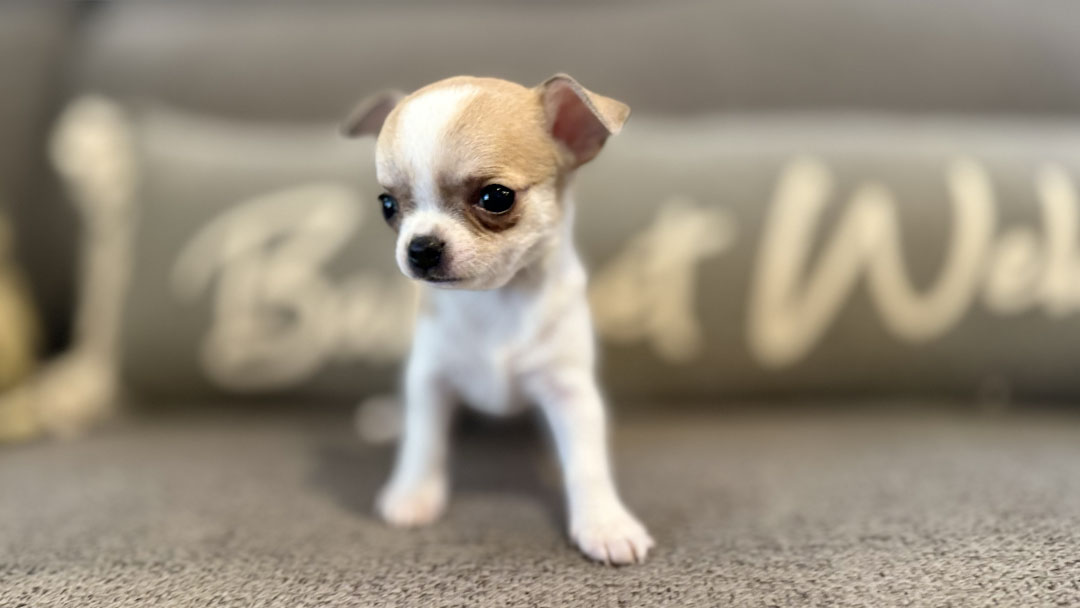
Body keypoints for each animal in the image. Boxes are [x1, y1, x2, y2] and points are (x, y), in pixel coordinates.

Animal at [342, 74, 653, 565]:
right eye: (387, 205)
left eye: (495, 197)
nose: (420, 247)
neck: (496, 300)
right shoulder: (430, 379)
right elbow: (424, 441)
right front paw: (413, 494)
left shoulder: (570, 391)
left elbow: (587, 463)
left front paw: (605, 524)